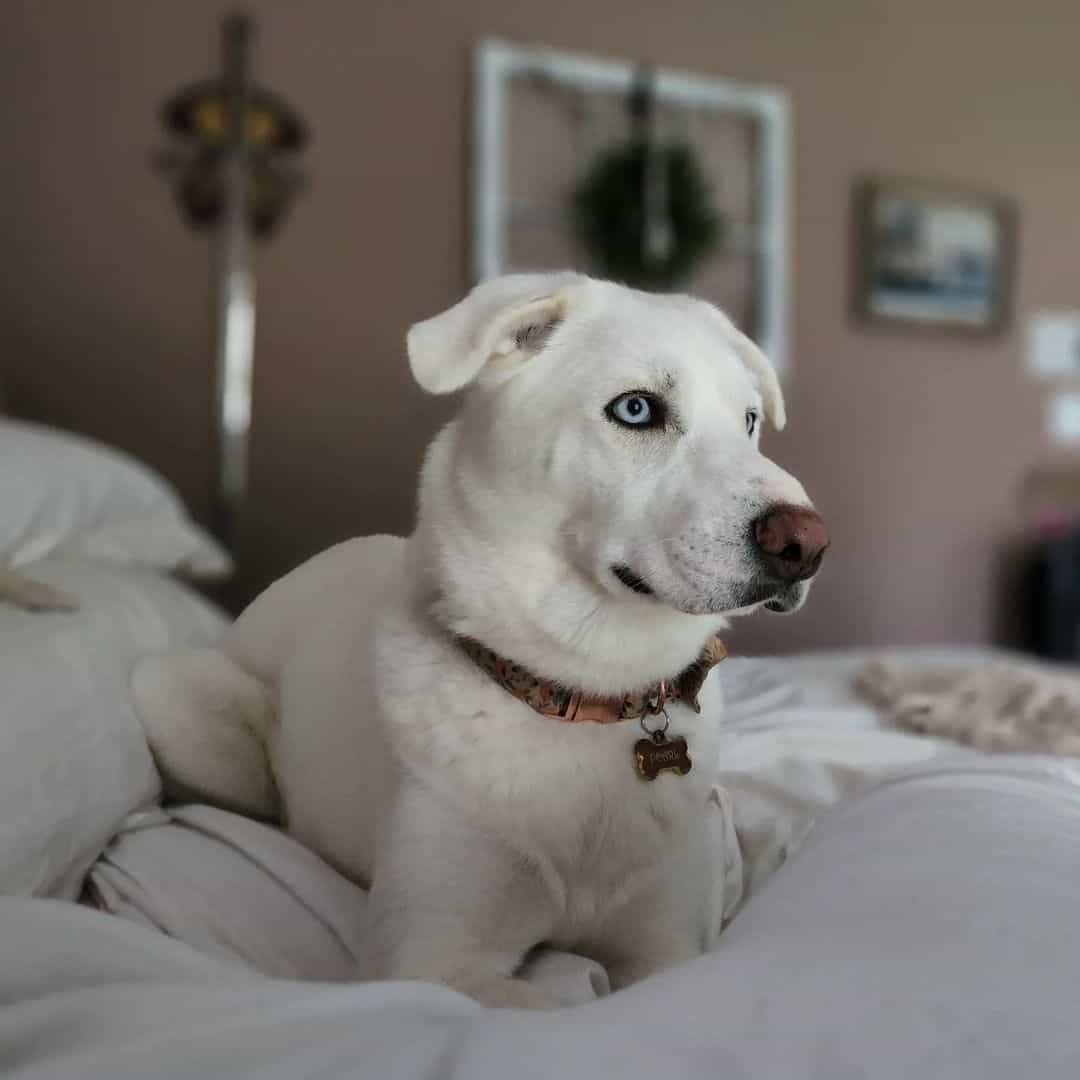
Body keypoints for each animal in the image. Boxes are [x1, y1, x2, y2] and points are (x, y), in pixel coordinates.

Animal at [132, 274, 825, 1006]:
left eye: (749, 421)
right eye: (636, 409)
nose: (807, 546)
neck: (588, 688)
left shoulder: (669, 950)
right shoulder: (431, 961)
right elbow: (559, 999)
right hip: (178, 706)